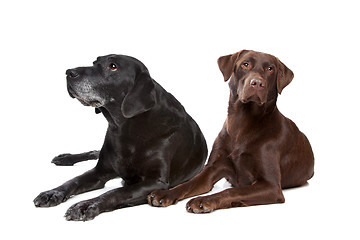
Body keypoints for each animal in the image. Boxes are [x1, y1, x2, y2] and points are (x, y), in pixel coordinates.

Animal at [34, 54, 208, 221]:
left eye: (113, 66)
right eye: (94, 62)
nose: (69, 72)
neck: (125, 128)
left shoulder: (156, 182)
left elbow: (116, 192)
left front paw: (85, 205)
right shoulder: (99, 172)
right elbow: (74, 180)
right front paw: (53, 193)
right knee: (94, 152)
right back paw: (65, 158)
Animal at [148, 49, 314, 213]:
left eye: (270, 69)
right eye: (245, 64)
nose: (257, 83)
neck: (242, 123)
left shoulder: (271, 186)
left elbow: (232, 191)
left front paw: (203, 201)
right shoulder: (212, 168)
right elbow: (188, 184)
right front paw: (165, 194)